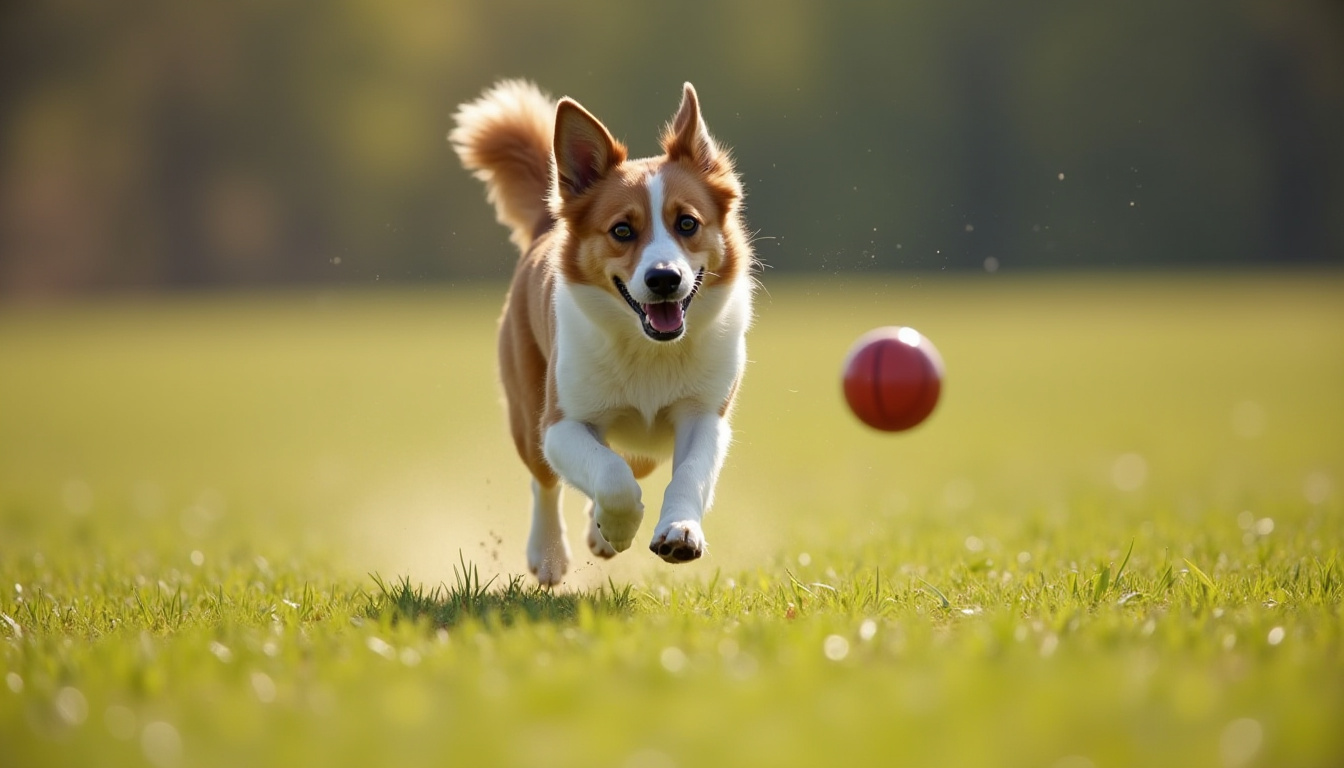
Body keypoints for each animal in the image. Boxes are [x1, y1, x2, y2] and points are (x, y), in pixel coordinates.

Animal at [451, 81, 758, 586]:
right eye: (622, 230)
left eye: (687, 223)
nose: (664, 279)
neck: (649, 350)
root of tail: (547, 224)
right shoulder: (560, 423)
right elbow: (610, 476)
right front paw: (616, 527)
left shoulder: (706, 414)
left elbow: (690, 473)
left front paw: (679, 532)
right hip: (526, 413)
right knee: (546, 481)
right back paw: (550, 555)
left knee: (635, 462)